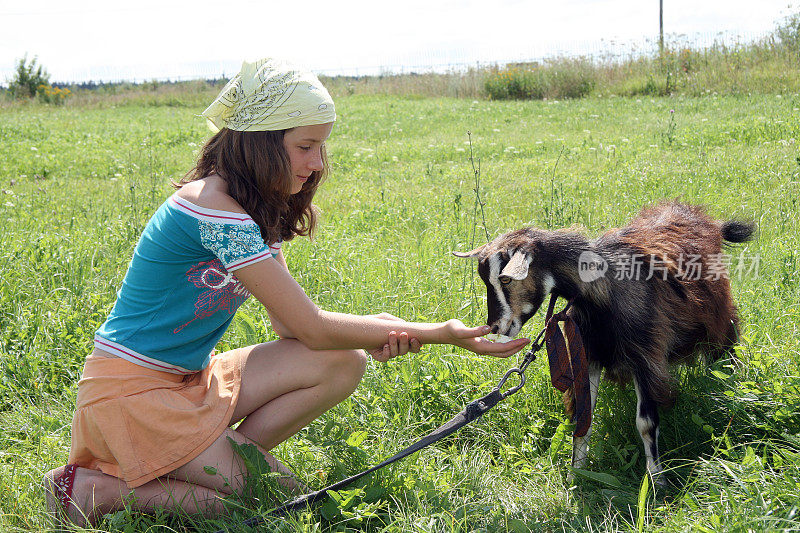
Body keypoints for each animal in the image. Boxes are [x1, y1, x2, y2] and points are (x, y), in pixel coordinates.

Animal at [456, 201, 756, 482]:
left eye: (506, 280)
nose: (496, 327)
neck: (603, 293)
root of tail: (708, 221)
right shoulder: (587, 353)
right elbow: (583, 417)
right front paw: (576, 476)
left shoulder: (646, 356)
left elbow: (646, 423)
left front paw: (656, 481)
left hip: (718, 314)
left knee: (725, 344)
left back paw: (732, 382)